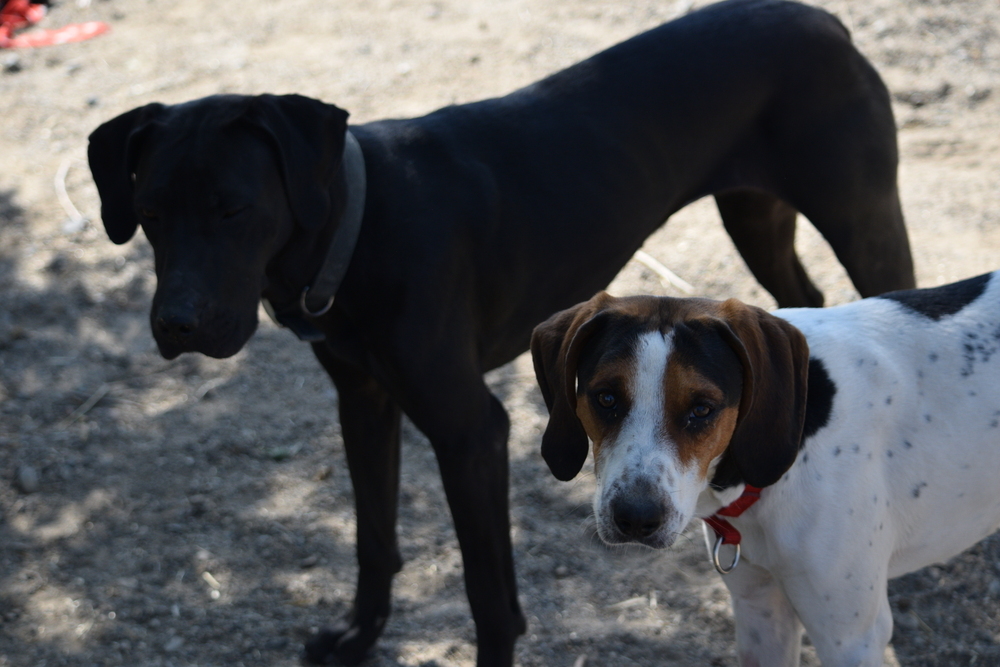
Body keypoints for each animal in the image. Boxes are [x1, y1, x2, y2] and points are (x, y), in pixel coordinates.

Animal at [90, 2, 916, 664]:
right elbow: (372, 536)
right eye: (150, 212)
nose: (177, 323)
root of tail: (825, 21)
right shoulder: (363, 403)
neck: (361, 222)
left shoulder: (471, 429)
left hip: (861, 216)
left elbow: (488, 592)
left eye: (234, 208)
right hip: (753, 216)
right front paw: (359, 635)